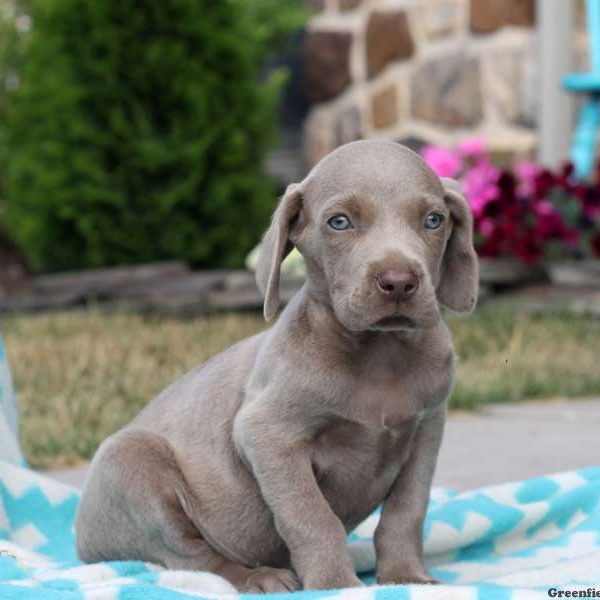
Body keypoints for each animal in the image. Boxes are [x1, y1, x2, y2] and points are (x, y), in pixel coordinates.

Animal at [75, 139, 478, 592]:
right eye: (339, 222)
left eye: (433, 220)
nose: (398, 282)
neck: (380, 355)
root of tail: (84, 541)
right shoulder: (267, 434)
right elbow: (311, 516)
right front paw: (335, 584)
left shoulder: (427, 430)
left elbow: (406, 511)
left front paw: (406, 577)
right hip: (132, 463)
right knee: (194, 558)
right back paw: (259, 577)